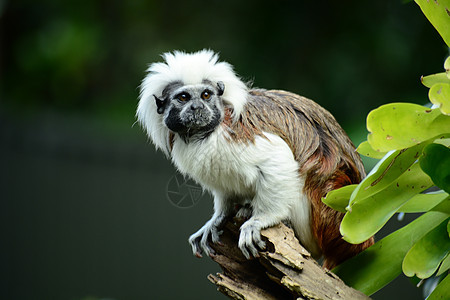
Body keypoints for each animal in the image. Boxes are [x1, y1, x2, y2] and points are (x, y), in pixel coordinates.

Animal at [136, 49, 372, 270]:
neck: (205, 134)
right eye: (183, 98)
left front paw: (261, 220)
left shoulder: (239, 134)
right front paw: (218, 218)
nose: (197, 108)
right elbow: (224, 190)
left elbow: (278, 157)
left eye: (205, 95)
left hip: (327, 211)